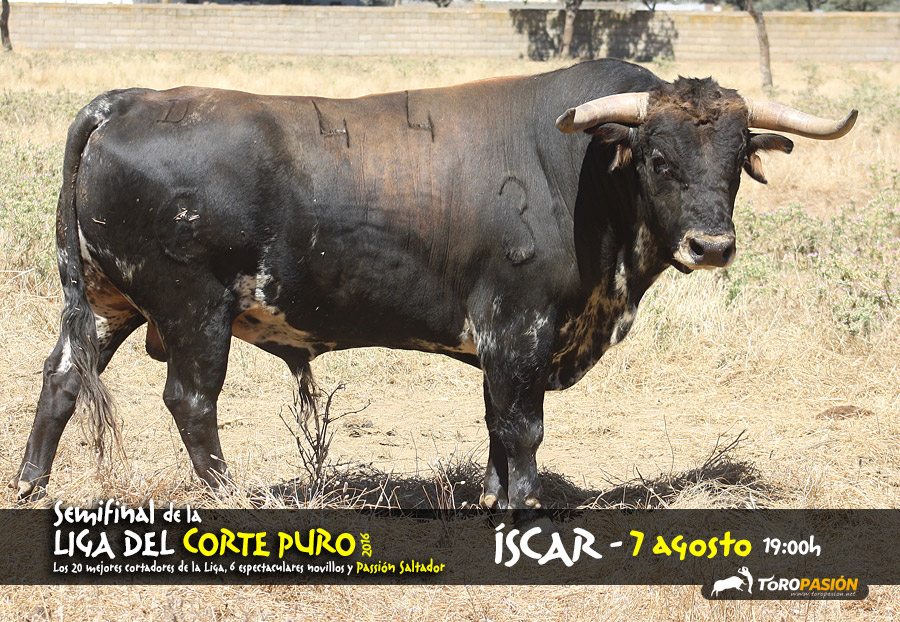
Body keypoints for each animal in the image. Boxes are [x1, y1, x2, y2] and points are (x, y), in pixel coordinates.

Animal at [14, 59, 856, 509]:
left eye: (737, 159)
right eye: (657, 157)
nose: (712, 246)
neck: (580, 173)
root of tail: (127, 100)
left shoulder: (502, 343)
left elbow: (494, 423)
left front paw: (491, 496)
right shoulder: (521, 325)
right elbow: (522, 426)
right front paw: (525, 504)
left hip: (104, 300)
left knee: (61, 378)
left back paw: (30, 486)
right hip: (194, 306)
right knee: (191, 399)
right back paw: (230, 496)